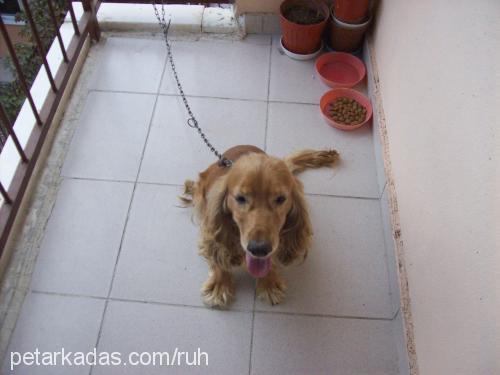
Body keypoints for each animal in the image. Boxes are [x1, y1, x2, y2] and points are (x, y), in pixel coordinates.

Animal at [181, 145, 340, 308]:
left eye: (281, 199)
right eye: (240, 198)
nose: (259, 249)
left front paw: (269, 283)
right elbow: (218, 253)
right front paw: (219, 285)